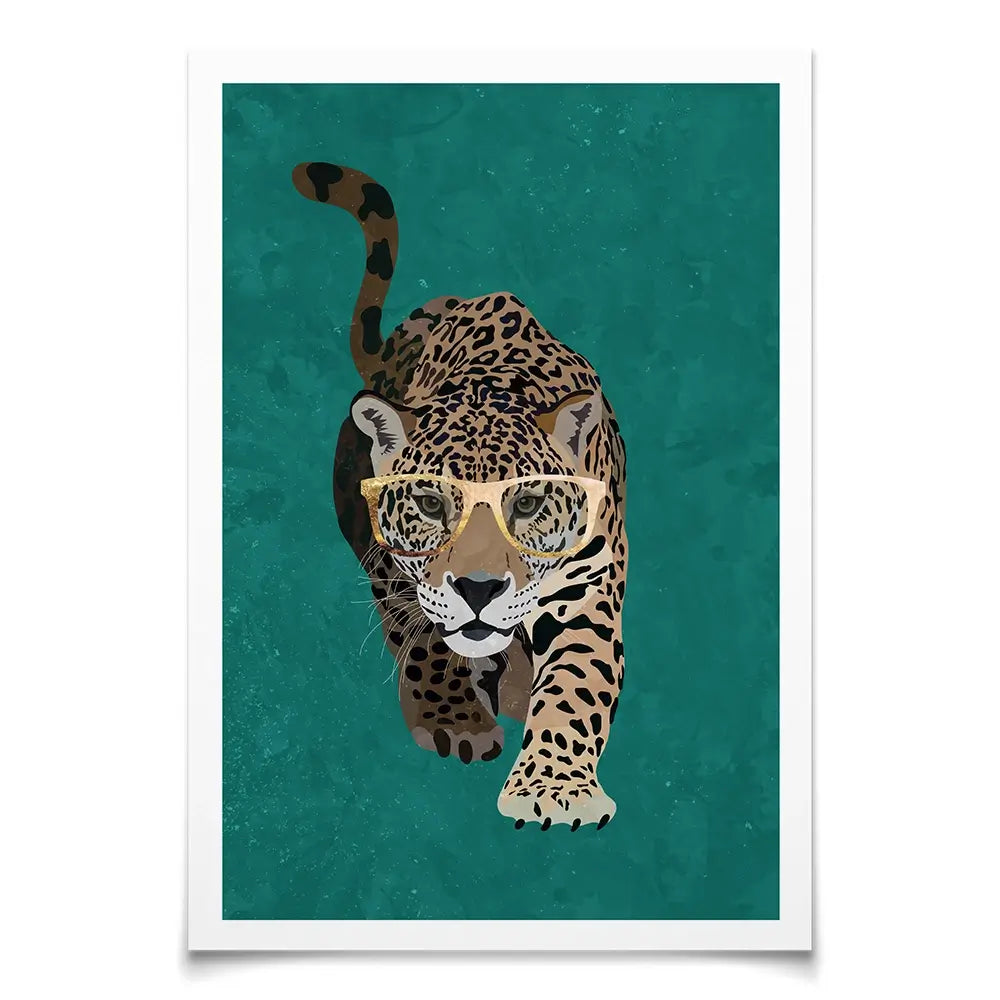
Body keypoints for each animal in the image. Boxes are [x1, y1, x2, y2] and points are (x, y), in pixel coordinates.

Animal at [291, 161, 628, 830]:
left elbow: (576, 683)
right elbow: (423, 637)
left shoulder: (588, 585)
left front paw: (554, 789)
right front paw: (455, 720)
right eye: (429, 504)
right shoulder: (396, 567)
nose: (478, 590)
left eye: (526, 504)